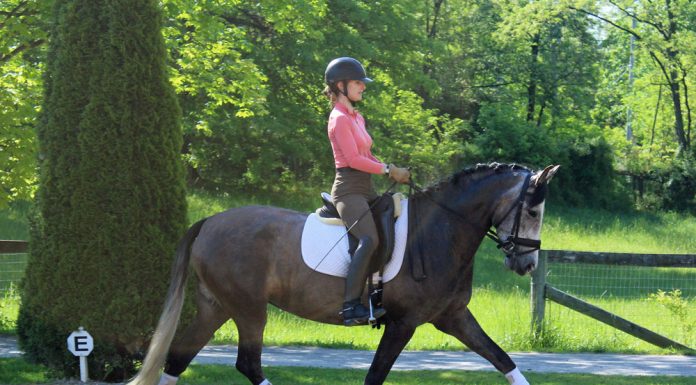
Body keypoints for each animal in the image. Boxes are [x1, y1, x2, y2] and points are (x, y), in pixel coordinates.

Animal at [125, 162, 560, 384]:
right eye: (533, 210)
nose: (526, 264)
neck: (440, 229)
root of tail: (209, 221)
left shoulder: (453, 317)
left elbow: (503, 360)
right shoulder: (403, 323)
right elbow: (375, 376)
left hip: (216, 306)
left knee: (177, 360)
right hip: (249, 309)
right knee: (247, 364)